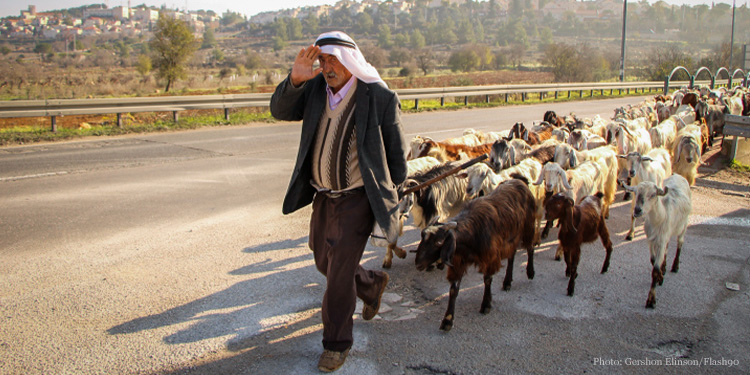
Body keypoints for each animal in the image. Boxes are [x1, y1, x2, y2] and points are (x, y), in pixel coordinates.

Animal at [414, 179, 536, 332]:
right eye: (422, 237)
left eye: (439, 242)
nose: (418, 263)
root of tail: (519, 181)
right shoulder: (458, 261)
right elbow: (453, 290)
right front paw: (447, 320)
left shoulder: (490, 257)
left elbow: (487, 280)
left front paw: (486, 305)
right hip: (511, 237)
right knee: (512, 256)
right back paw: (507, 282)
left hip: (528, 226)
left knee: (530, 247)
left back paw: (530, 272)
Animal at [624, 175, 692, 310]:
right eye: (636, 192)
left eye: (653, 195)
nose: (637, 210)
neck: (661, 216)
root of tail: (678, 175)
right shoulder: (650, 239)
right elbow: (653, 260)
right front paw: (661, 276)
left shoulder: (661, 239)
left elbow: (654, 270)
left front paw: (651, 300)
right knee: (667, 248)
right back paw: (664, 267)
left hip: (684, 225)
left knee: (680, 243)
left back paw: (675, 266)